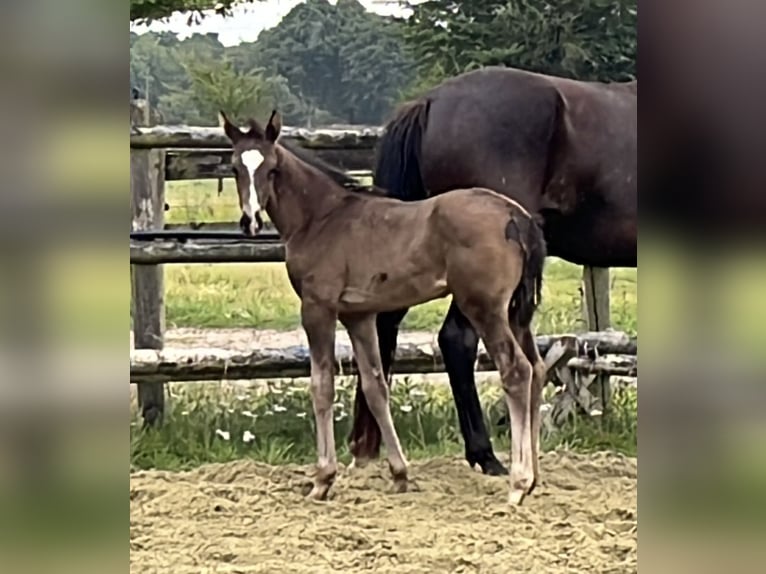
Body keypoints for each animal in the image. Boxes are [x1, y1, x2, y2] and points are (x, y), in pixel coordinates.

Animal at [220, 109, 547, 505]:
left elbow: (322, 386)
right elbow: (376, 387)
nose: (250, 221)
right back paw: (533, 480)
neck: (322, 217)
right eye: (235, 167)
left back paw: (517, 484)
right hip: (517, 312)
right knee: (537, 368)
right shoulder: (359, 315)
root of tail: (517, 217)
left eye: (271, 169)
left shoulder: (318, 308)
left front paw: (322, 479)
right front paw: (399, 474)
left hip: (485, 308)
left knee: (516, 370)